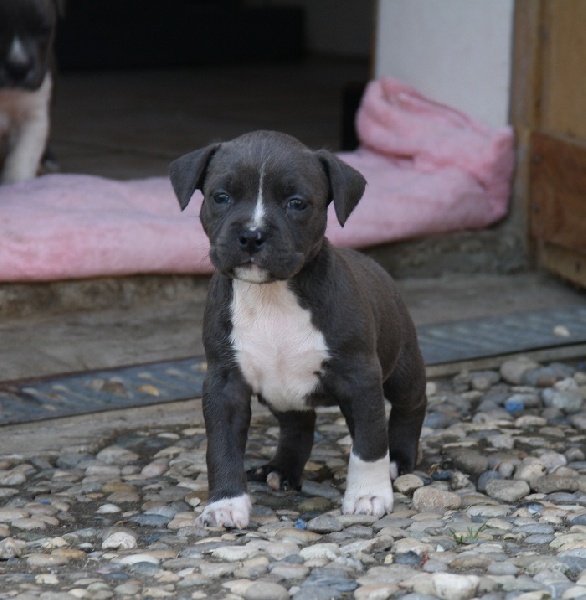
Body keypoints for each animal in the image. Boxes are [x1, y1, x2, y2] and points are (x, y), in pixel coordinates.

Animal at [169, 130, 427, 529]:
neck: (272, 294)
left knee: (410, 405)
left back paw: (399, 458)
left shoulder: (360, 378)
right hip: (281, 393)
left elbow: (369, 443)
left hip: (402, 366)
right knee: (298, 425)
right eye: (221, 197)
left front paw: (368, 494)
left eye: (297, 203)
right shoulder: (225, 382)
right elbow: (222, 446)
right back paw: (283, 469)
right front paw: (226, 503)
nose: (252, 235)